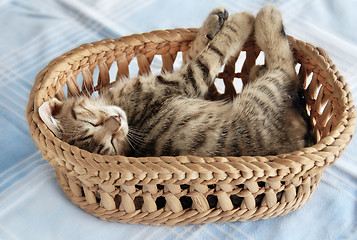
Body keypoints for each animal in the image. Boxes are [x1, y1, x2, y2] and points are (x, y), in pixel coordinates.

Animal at [38, 5, 312, 158]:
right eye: (111, 144)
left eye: (91, 123)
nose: (116, 121)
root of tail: (301, 139)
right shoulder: (183, 82)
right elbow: (211, 54)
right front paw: (240, 22)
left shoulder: (178, 80)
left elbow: (195, 50)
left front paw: (213, 23)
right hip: (266, 94)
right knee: (285, 66)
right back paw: (267, 17)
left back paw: (256, 65)